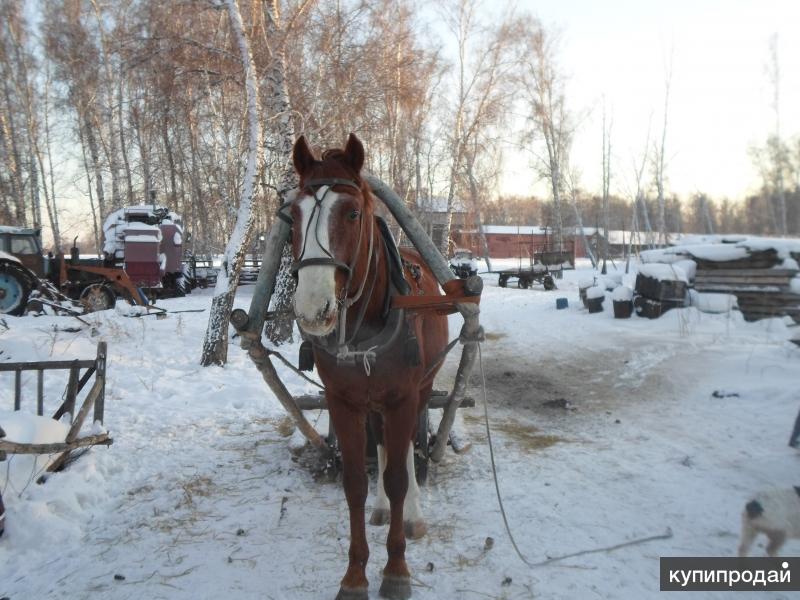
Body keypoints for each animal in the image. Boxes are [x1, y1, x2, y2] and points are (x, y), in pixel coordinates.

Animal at [290, 136, 450, 600]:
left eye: (352, 213)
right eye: (293, 215)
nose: (313, 308)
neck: (364, 330)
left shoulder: (401, 398)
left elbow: (398, 476)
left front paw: (396, 569)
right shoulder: (345, 402)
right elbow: (355, 483)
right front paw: (355, 574)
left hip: (419, 390)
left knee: (409, 449)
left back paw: (412, 515)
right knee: (380, 446)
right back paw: (381, 509)